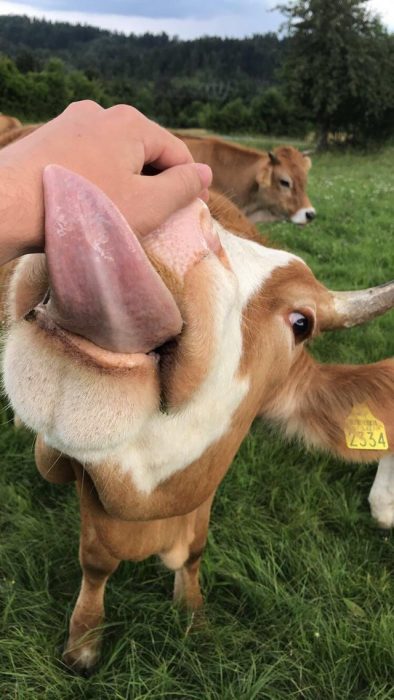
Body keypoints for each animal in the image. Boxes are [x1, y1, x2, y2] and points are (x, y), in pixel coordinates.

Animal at [1, 167, 392, 676]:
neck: (156, 514)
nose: (175, 204)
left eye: (302, 323)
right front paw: (83, 643)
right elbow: (97, 561)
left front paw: (193, 615)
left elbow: (196, 552)